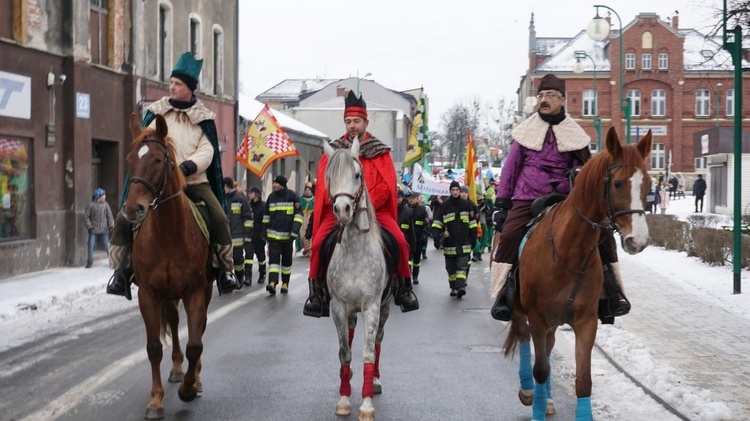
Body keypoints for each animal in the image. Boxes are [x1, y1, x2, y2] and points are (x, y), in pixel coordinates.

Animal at [122, 113, 213, 418]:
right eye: (129, 159)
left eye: (159, 159)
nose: (133, 209)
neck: (169, 234)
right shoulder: (148, 294)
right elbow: (153, 348)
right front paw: (156, 400)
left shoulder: (196, 291)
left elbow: (195, 343)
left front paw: (188, 388)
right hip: (169, 294)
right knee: (173, 322)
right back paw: (175, 368)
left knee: (199, 328)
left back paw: (194, 377)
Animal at [506, 128, 652, 420]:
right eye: (618, 184)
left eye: (649, 184)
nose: (638, 241)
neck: (567, 251)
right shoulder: (537, 318)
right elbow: (541, 369)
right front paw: (536, 406)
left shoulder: (586, 322)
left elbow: (583, 381)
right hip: (519, 310)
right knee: (524, 339)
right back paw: (528, 390)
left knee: (548, 347)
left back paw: (548, 399)